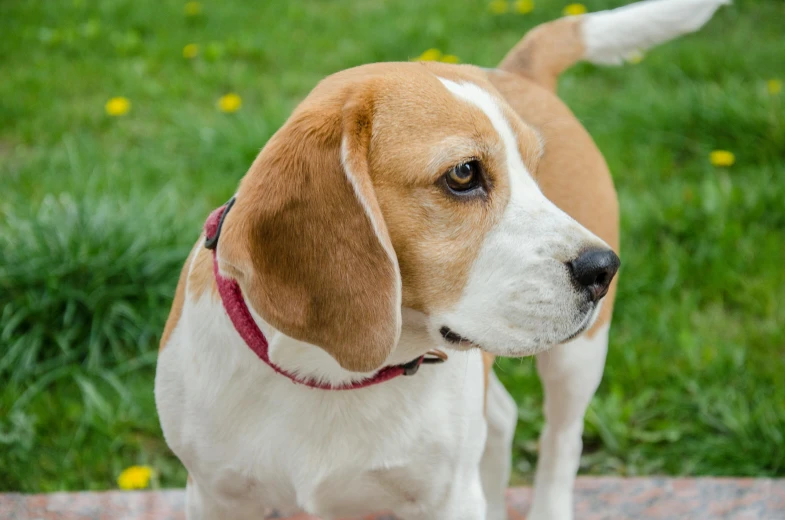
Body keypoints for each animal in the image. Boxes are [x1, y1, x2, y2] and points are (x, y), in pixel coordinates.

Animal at [156, 2, 724, 516]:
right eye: (463, 174)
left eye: (535, 170)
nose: (604, 269)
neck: (331, 373)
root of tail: (516, 69)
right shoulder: (213, 496)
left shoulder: (448, 497)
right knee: (503, 417)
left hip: (579, 358)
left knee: (562, 444)